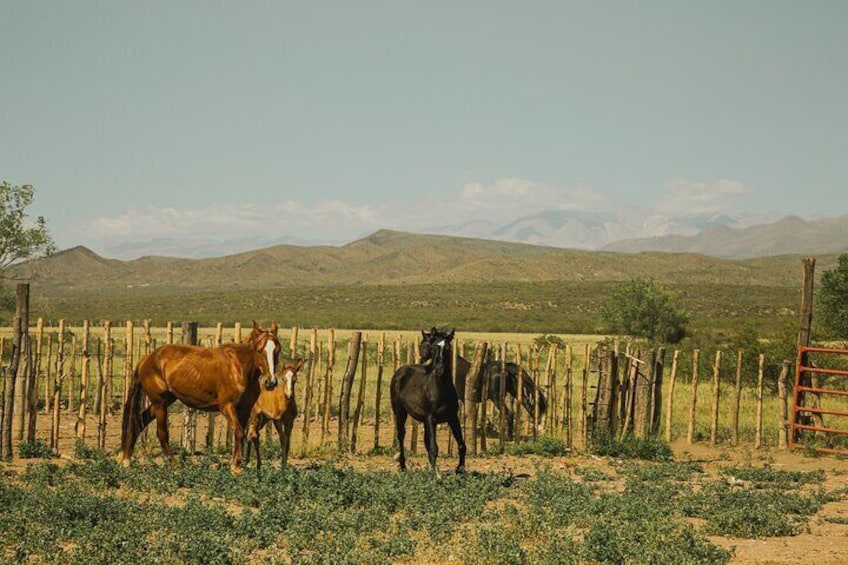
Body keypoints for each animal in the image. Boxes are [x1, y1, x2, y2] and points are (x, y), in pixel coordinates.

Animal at [120, 320, 282, 470]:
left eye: (277, 350)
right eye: (259, 350)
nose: (270, 382)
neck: (239, 368)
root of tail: (147, 358)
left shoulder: (245, 409)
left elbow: (241, 433)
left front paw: (235, 463)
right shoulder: (227, 407)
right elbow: (239, 432)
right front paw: (236, 467)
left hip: (164, 401)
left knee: (139, 422)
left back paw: (127, 460)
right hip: (159, 403)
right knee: (161, 433)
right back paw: (174, 464)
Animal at [390, 326, 464, 476]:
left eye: (448, 348)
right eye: (434, 347)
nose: (439, 370)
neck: (441, 388)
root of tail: (400, 371)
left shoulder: (452, 418)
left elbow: (461, 445)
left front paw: (459, 469)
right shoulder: (431, 418)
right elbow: (434, 447)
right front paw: (436, 474)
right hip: (400, 412)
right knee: (401, 435)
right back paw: (403, 466)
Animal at [420, 326, 548, 436]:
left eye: (423, 344)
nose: (421, 359)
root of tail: (506, 367)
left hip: (497, 397)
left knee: (509, 414)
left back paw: (509, 437)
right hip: (517, 392)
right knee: (530, 409)